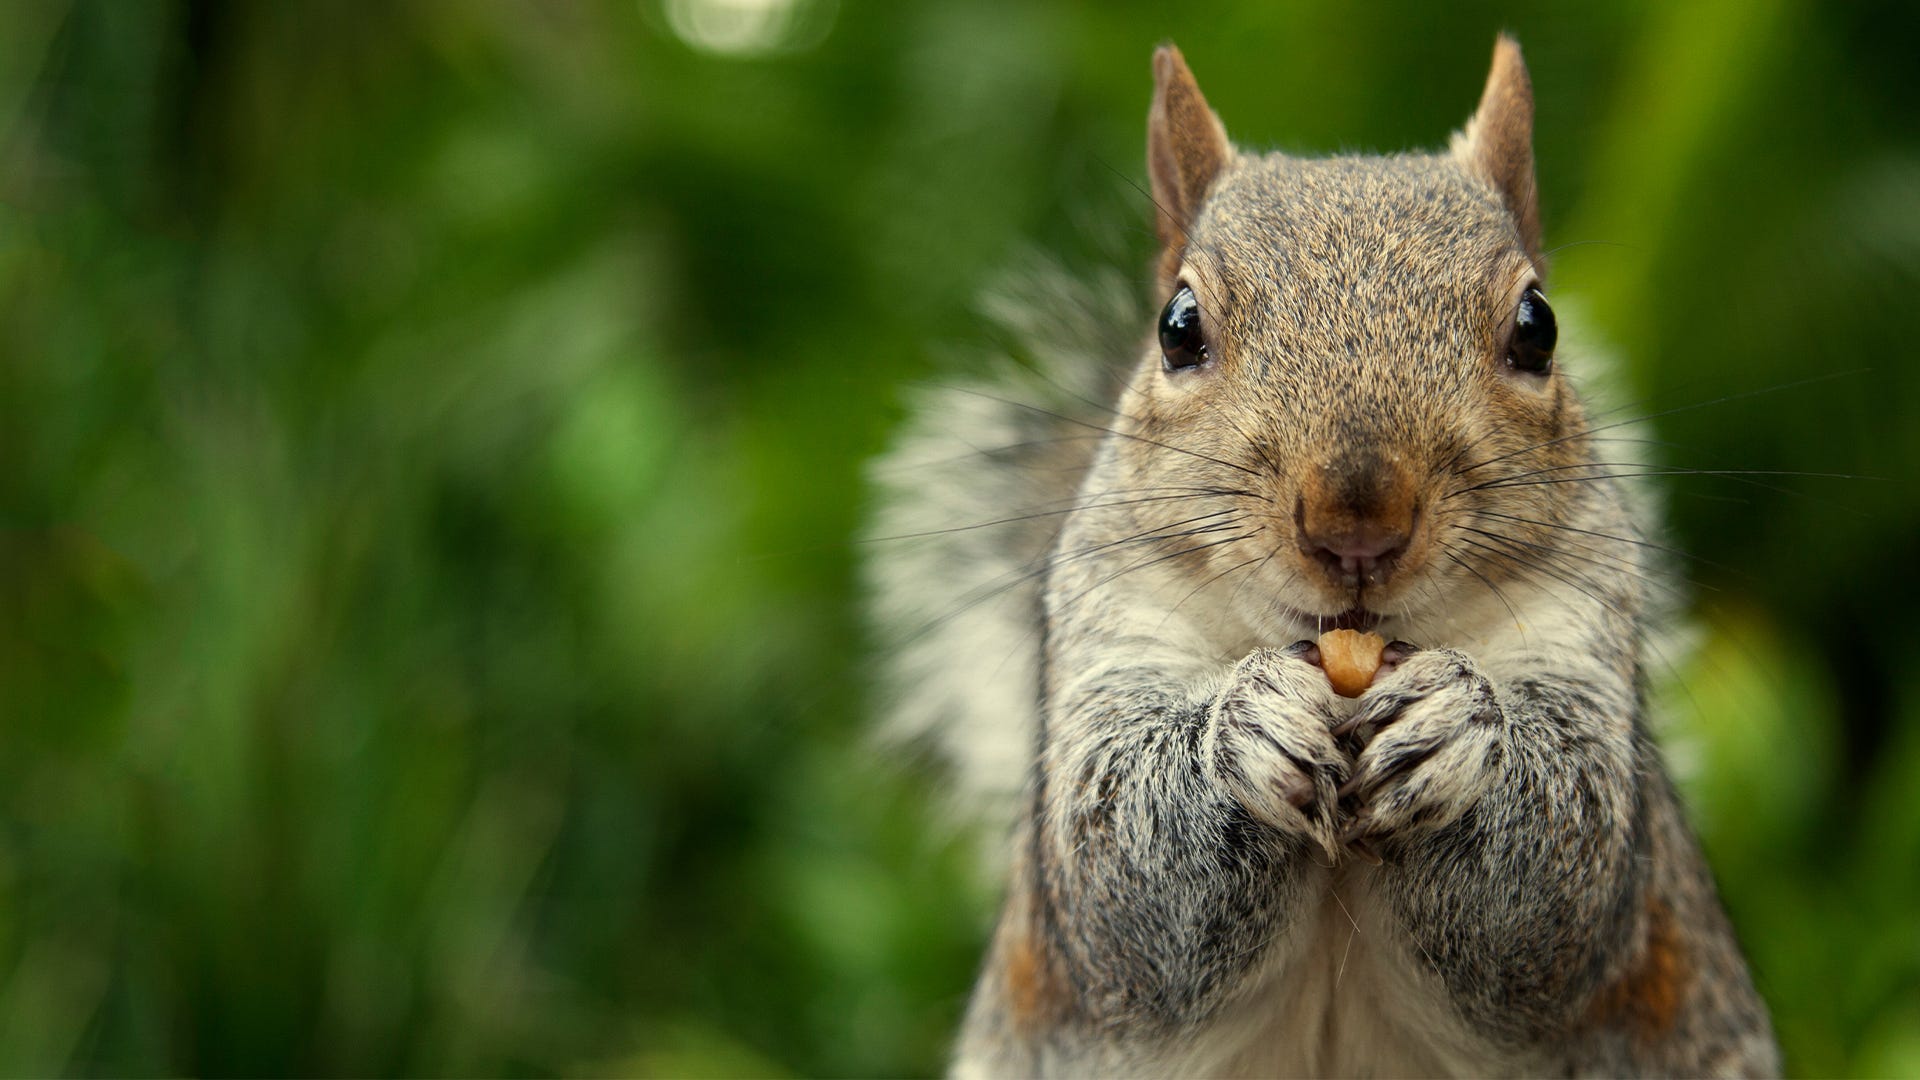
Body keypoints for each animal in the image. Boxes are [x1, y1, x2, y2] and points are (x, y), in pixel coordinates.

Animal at [864, 35, 1774, 1076]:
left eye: (1538, 327)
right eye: (1178, 327)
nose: (1356, 521)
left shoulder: (1588, 635)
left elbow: (1560, 875)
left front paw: (1457, 729)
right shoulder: (1108, 628)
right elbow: (1119, 874)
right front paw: (1240, 732)